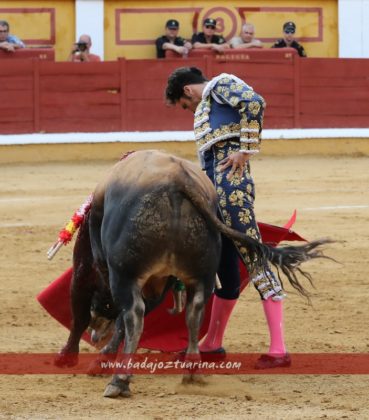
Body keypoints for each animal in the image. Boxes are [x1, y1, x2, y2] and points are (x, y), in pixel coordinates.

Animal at [56, 150, 330, 398]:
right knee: (194, 312)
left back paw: (120, 381)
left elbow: (87, 315)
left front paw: (70, 357)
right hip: (201, 275)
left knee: (134, 315)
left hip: (127, 274)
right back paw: (192, 371)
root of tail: (179, 182)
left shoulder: (91, 270)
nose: (96, 334)